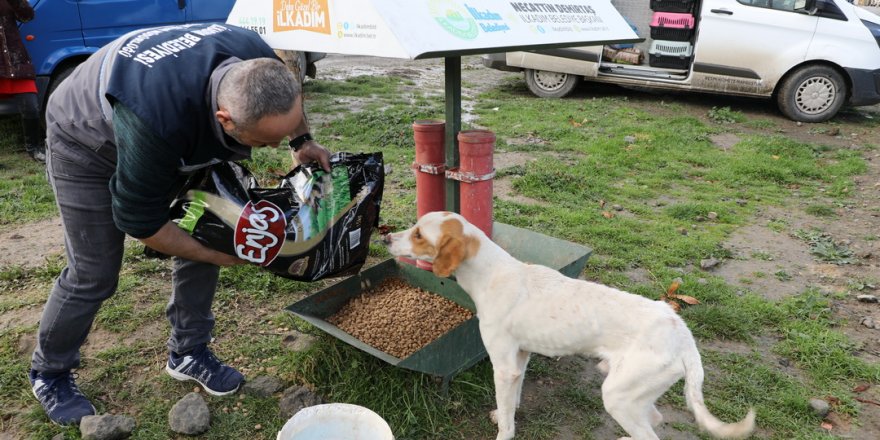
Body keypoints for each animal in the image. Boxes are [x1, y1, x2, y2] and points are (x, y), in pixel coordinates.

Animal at [384, 211, 756, 438]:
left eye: (419, 234)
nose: (386, 238)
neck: (492, 274)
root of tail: (682, 332)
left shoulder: (503, 365)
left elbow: (507, 418)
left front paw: (504, 430)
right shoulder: (519, 359)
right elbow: (512, 402)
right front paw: (507, 413)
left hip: (618, 396)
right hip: (633, 394)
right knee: (656, 420)